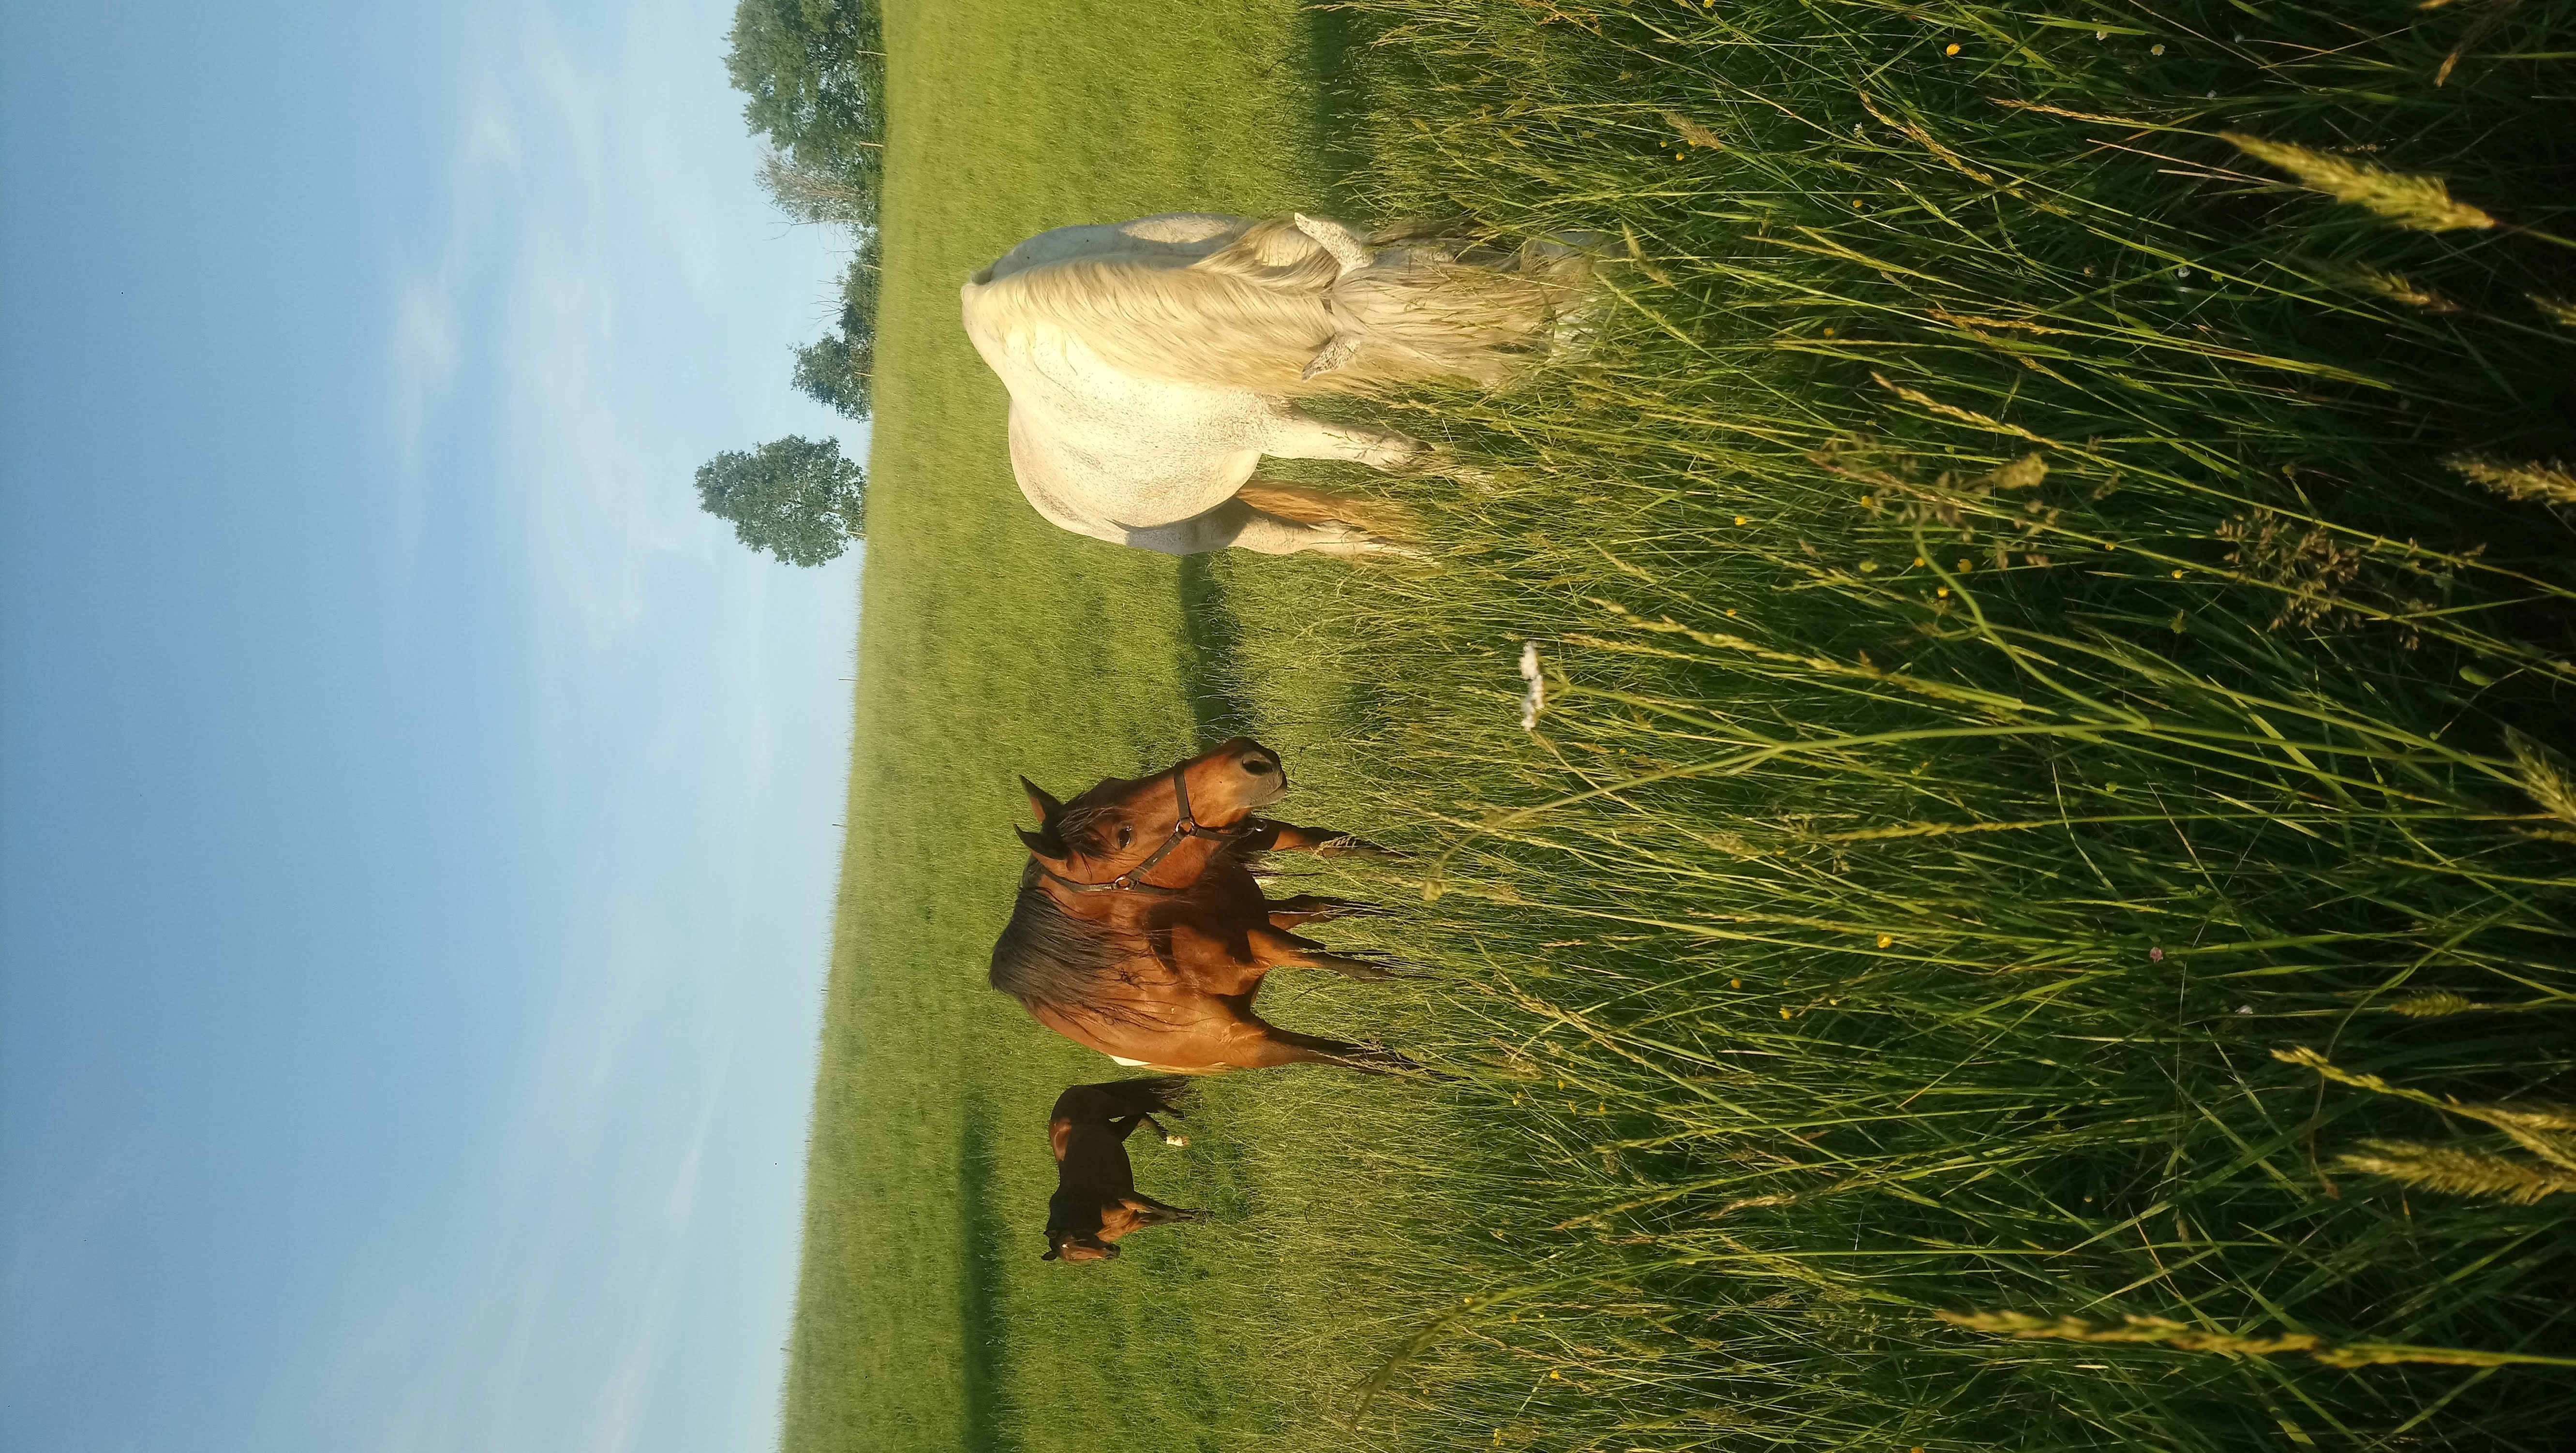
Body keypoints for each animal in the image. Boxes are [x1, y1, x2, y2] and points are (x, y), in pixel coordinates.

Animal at [961, 212, 1602, 559]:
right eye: (1439, 348)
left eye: (1459, 256)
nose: (1588, 287)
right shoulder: (1275, 429)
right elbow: (1402, 455)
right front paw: (1517, 488)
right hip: (1223, 530)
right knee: (1324, 541)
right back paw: (1424, 558)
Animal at [988, 736, 1415, 1074]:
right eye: (1124, 837)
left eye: (1115, 783)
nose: (1249, 757)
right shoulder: (1253, 1045)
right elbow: (1357, 1049)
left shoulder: (1254, 930)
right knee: (1317, 907)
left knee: (1325, 888)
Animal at [1041, 1077, 1206, 1263]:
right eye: (1074, 1258)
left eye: (1078, 1239)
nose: (1111, 1254)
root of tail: (1069, 1092)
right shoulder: (1135, 1220)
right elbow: (1169, 1218)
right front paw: (1198, 1217)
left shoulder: (1130, 1199)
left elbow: (1167, 1212)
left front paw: (1201, 1216)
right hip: (1116, 1131)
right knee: (1142, 1117)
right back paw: (1174, 1140)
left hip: (1116, 1107)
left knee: (1146, 1106)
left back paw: (1178, 1119)